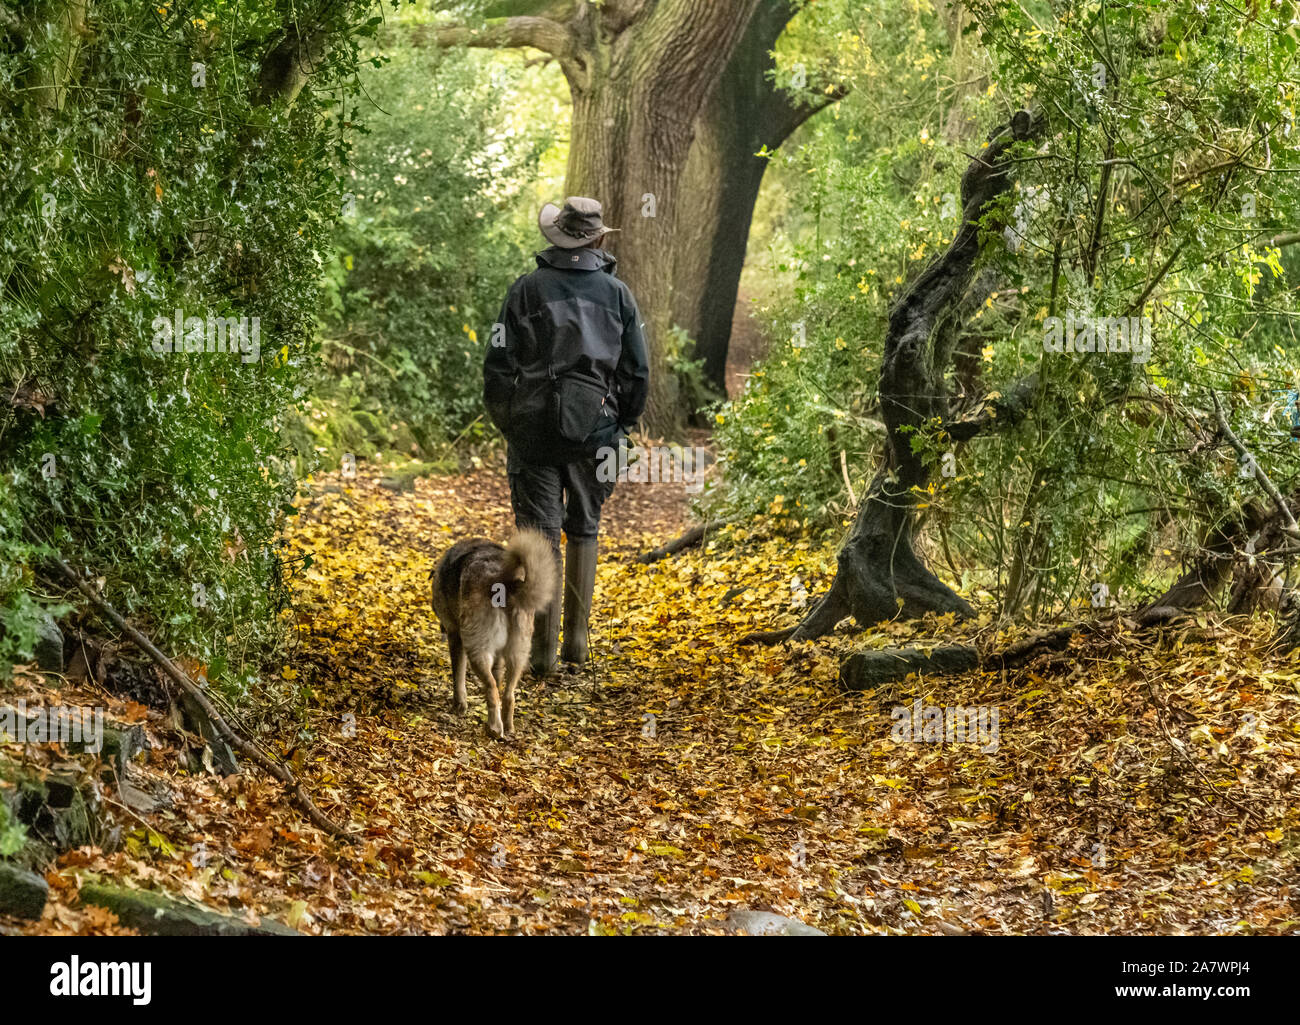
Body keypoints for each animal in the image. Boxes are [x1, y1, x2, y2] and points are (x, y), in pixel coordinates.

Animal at [431, 528, 553, 738]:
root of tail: (505, 581)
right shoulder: (499, 658)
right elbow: (498, 677)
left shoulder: (456, 638)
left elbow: (458, 677)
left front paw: (459, 706)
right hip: (517, 653)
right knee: (508, 695)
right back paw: (508, 727)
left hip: (478, 650)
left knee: (492, 690)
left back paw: (494, 728)